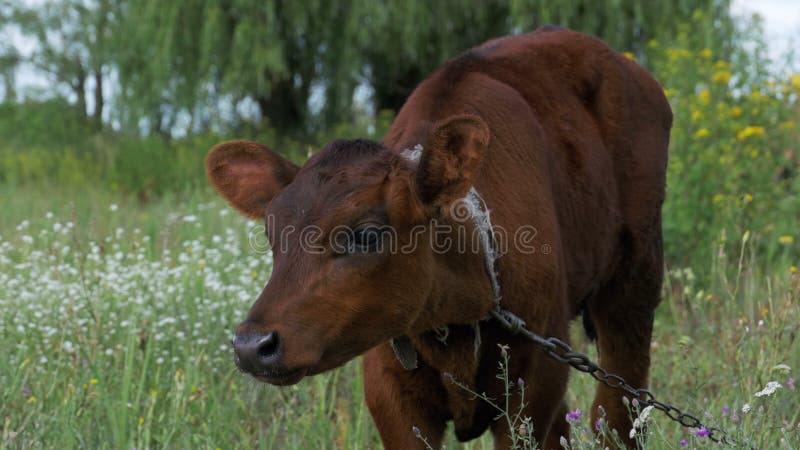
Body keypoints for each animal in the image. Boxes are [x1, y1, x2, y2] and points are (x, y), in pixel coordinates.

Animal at [205, 29, 668, 450]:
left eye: (367, 235)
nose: (251, 345)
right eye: (271, 236)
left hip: (634, 282)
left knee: (617, 410)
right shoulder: (389, 391)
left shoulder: (534, 380)